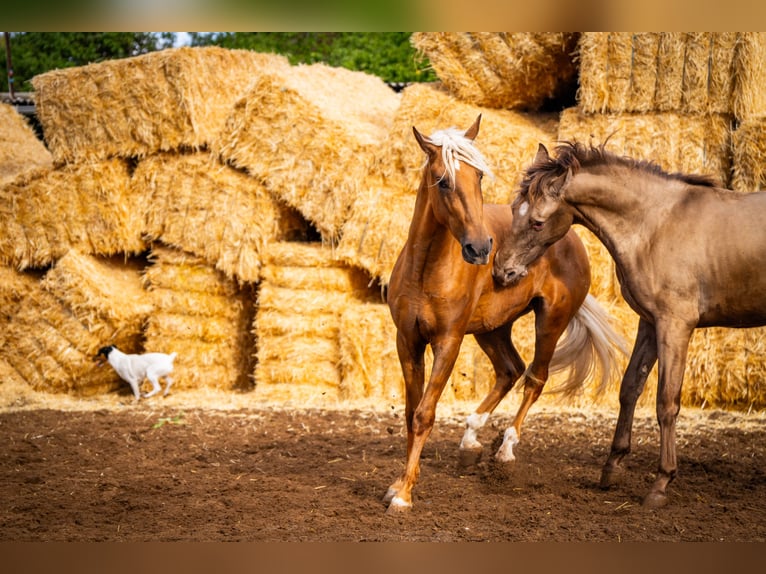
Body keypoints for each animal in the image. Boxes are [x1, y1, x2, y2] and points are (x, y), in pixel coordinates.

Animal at [384, 119, 632, 516]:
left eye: (479, 177)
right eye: (442, 180)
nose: (480, 248)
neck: (426, 269)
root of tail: (570, 238)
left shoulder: (448, 342)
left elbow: (425, 413)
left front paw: (404, 494)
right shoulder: (407, 341)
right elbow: (411, 412)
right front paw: (398, 484)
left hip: (550, 321)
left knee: (535, 377)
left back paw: (505, 448)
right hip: (493, 328)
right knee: (509, 369)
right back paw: (470, 440)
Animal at [496, 142, 766, 510]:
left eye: (537, 222)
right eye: (513, 210)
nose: (501, 271)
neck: (656, 225)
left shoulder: (675, 326)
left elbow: (666, 402)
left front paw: (661, 483)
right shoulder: (649, 323)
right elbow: (629, 389)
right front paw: (612, 466)